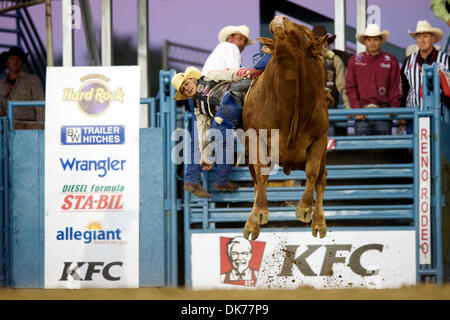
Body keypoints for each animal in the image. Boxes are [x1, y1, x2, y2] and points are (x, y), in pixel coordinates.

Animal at [241, 15, 332, 240]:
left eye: (305, 32)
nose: (279, 18)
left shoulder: (319, 138)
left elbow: (312, 173)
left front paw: (304, 209)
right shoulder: (256, 136)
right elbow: (261, 174)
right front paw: (260, 212)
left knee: (322, 177)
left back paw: (319, 222)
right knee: (256, 181)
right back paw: (252, 223)